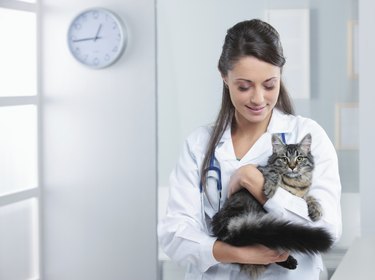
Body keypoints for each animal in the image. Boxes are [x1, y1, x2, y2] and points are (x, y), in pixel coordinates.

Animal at [212, 133, 334, 278]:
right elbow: (273, 172)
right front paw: (270, 187)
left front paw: (316, 209)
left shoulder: (303, 194)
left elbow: (310, 197)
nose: (292, 167)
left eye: (299, 158)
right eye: (284, 159)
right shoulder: (262, 169)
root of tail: (228, 229)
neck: (295, 182)